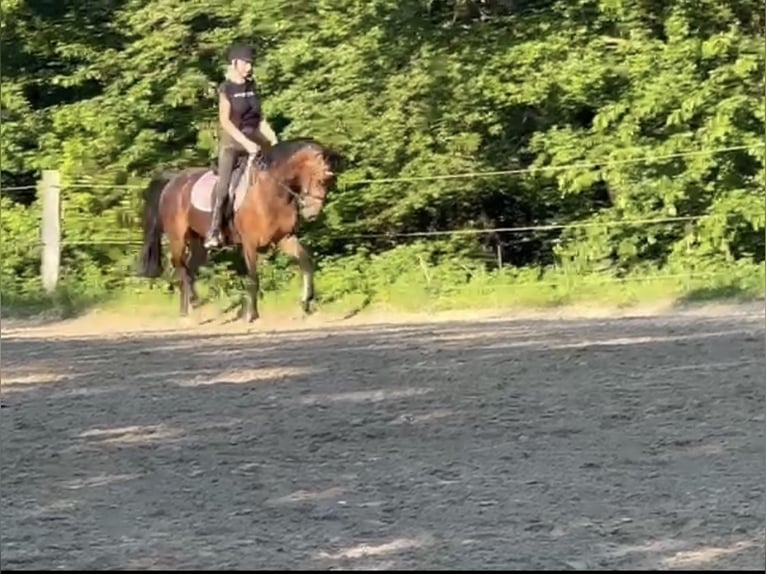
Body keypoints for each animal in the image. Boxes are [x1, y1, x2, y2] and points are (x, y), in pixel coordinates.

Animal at [139, 137, 342, 322]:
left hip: (198, 243)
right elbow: (252, 278)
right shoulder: (249, 243)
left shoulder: (284, 238)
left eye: (330, 181)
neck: (271, 191)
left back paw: (191, 306)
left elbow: (306, 262)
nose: (312, 213)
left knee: (189, 270)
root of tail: (173, 180)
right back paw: (188, 309)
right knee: (181, 269)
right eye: (321, 179)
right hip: (177, 239)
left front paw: (306, 303)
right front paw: (250, 314)